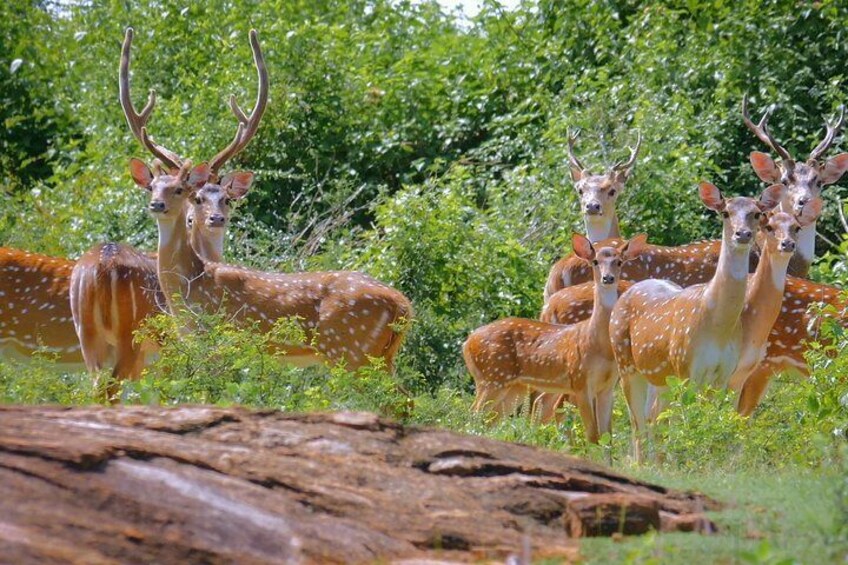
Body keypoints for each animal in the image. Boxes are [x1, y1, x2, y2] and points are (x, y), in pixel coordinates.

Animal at [70, 27, 264, 396]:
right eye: (195, 199)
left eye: (227, 199)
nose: (216, 220)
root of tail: (99, 269)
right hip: (131, 340)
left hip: (87, 338)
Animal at [460, 232, 644, 440]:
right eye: (595, 261)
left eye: (619, 262)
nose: (608, 278)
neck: (597, 343)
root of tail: (467, 343)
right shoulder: (580, 381)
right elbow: (593, 436)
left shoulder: (606, 387)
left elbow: (606, 437)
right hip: (491, 378)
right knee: (473, 416)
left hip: (512, 387)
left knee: (489, 420)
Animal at [608, 181, 780, 458]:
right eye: (725, 212)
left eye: (756, 213)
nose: (742, 234)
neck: (717, 326)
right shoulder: (687, 367)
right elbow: (687, 423)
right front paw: (686, 459)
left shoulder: (723, 373)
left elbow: (712, 422)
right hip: (625, 361)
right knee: (636, 422)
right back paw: (641, 462)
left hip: (661, 376)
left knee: (654, 416)